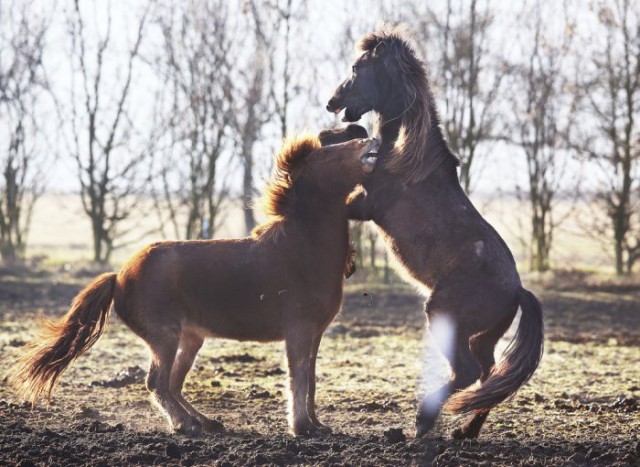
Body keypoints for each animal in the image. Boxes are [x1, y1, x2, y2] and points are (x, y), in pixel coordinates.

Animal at [8, 134, 380, 438]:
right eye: (330, 154)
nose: (372, 141)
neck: (302, 247)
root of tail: (119, 276)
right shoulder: (299, 330)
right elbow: (298, 377)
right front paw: (301, 428)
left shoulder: (315, 333)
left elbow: (311, 379)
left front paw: (317, 425)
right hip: (165, 337)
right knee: (158, 383)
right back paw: (186, 425)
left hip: (189, 338)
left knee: (172, 383)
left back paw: (204, 422)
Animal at [328, 27, 544, 440]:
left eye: (357, 67)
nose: (333, 102)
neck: (405, 154)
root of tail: (517, 290)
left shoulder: (365, 205)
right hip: (482, 337)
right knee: (489, 376)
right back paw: (465, 431)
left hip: (444, 315)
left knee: (469, 372)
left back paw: (424, 422)